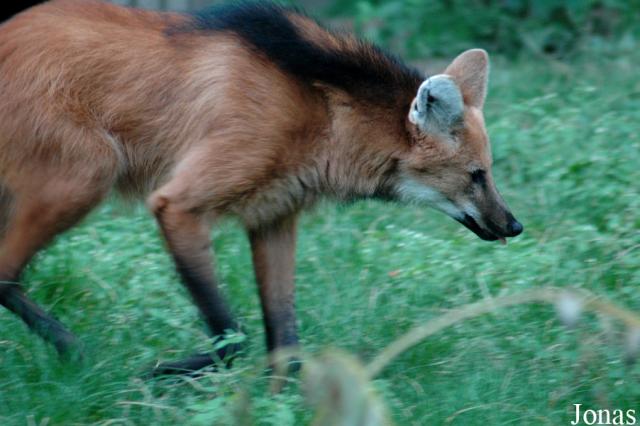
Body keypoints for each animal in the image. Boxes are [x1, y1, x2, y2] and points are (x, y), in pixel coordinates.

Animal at [0, 0, 520, 372]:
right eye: (477, 175)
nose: (514, 226)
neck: (322, 110)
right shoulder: (179, 204)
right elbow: (233, 338)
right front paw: (160, 371)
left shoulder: (274, 215)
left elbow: (285, 340)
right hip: (86, 176)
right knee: (6, 274)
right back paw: (81, 355)